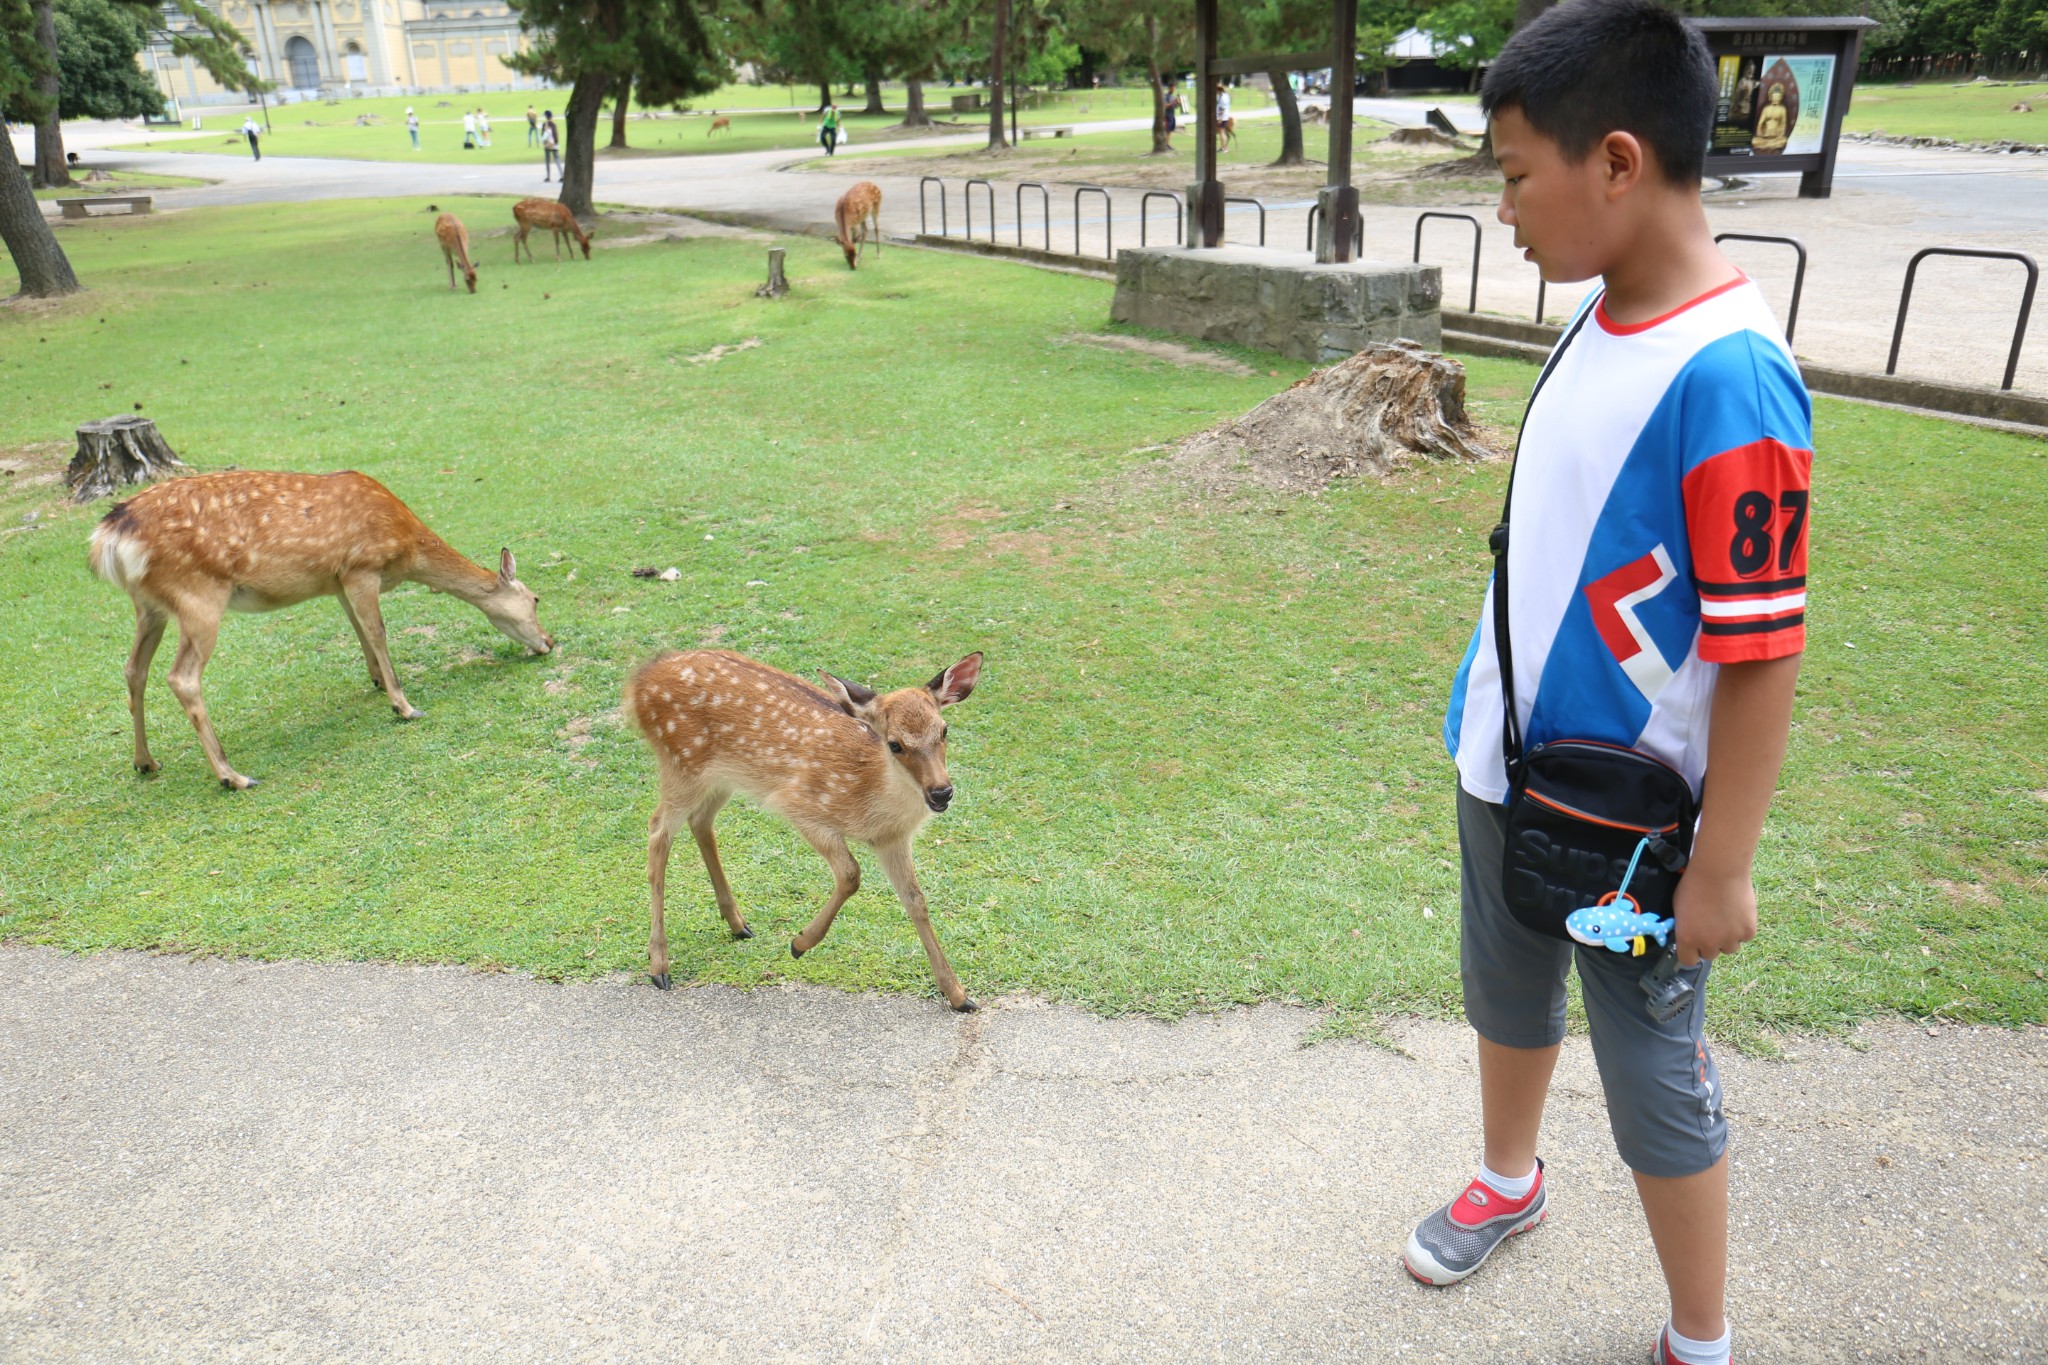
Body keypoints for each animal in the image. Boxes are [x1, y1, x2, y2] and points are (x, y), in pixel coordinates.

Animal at [90, 472, 552, 785]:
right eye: (535, 599)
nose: (549, 641)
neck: (406, 548)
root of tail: (108, 539)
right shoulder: (362, 567)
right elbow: (379, 631)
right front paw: (404, 706)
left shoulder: (337, 580)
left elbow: (360, 631)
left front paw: (378, 682)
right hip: (198, 597)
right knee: (182, 677)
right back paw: (233, 776)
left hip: (150, 606)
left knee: (133, 669)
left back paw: (146, 761)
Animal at [626, 650, 987, 1015]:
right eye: (895, 744)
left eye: (944, 730)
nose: (941, 792)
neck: (869, 800)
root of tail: (639, 681)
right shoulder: (799, 806)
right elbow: (851, 873)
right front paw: (799, 943)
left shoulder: (892, 839)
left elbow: (916, 900)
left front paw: (958, 995)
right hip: (681, 763)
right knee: (658, 830)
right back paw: (659, 965)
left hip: (722, 777)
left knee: (700, 821)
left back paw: (737, 924)